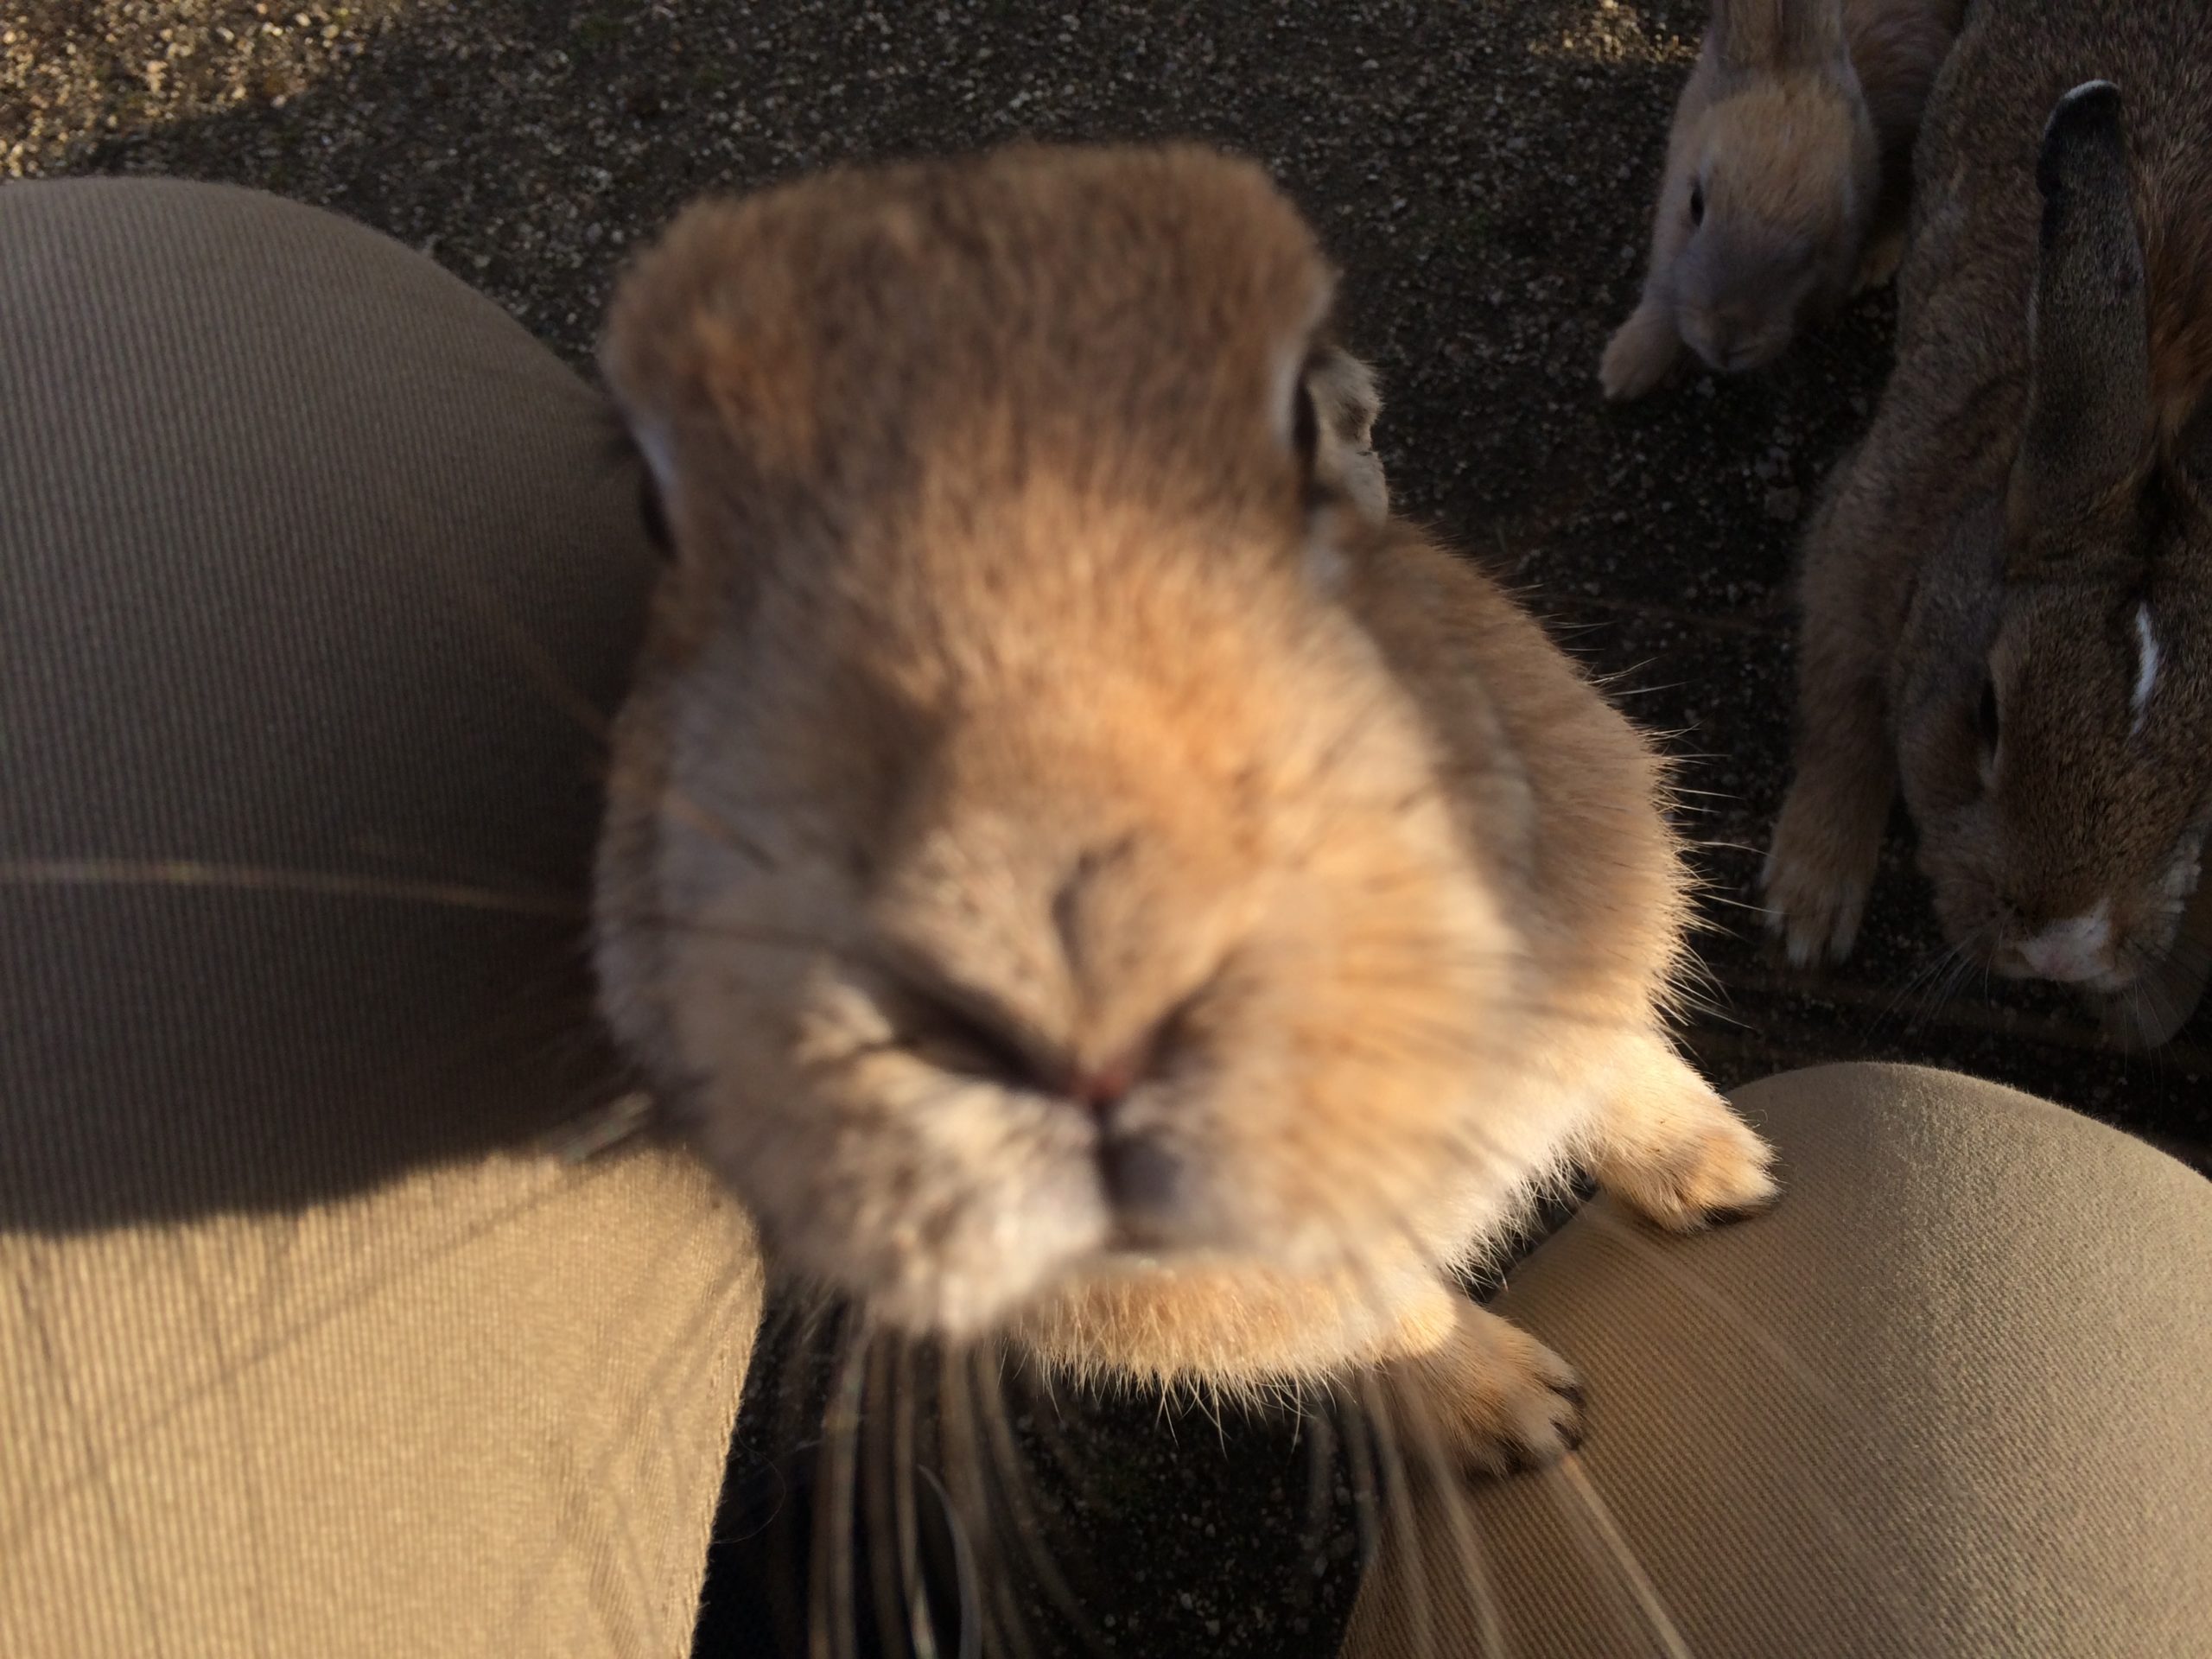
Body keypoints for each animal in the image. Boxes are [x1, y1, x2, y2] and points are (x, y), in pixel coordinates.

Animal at [593, 139, 1778, 1468]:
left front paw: (1725, 1176)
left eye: (1305, 424)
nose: (1080, 993)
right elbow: (1398, 1321)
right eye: (659, 516)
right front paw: (1520, 1424)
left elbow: (1613, 1066)